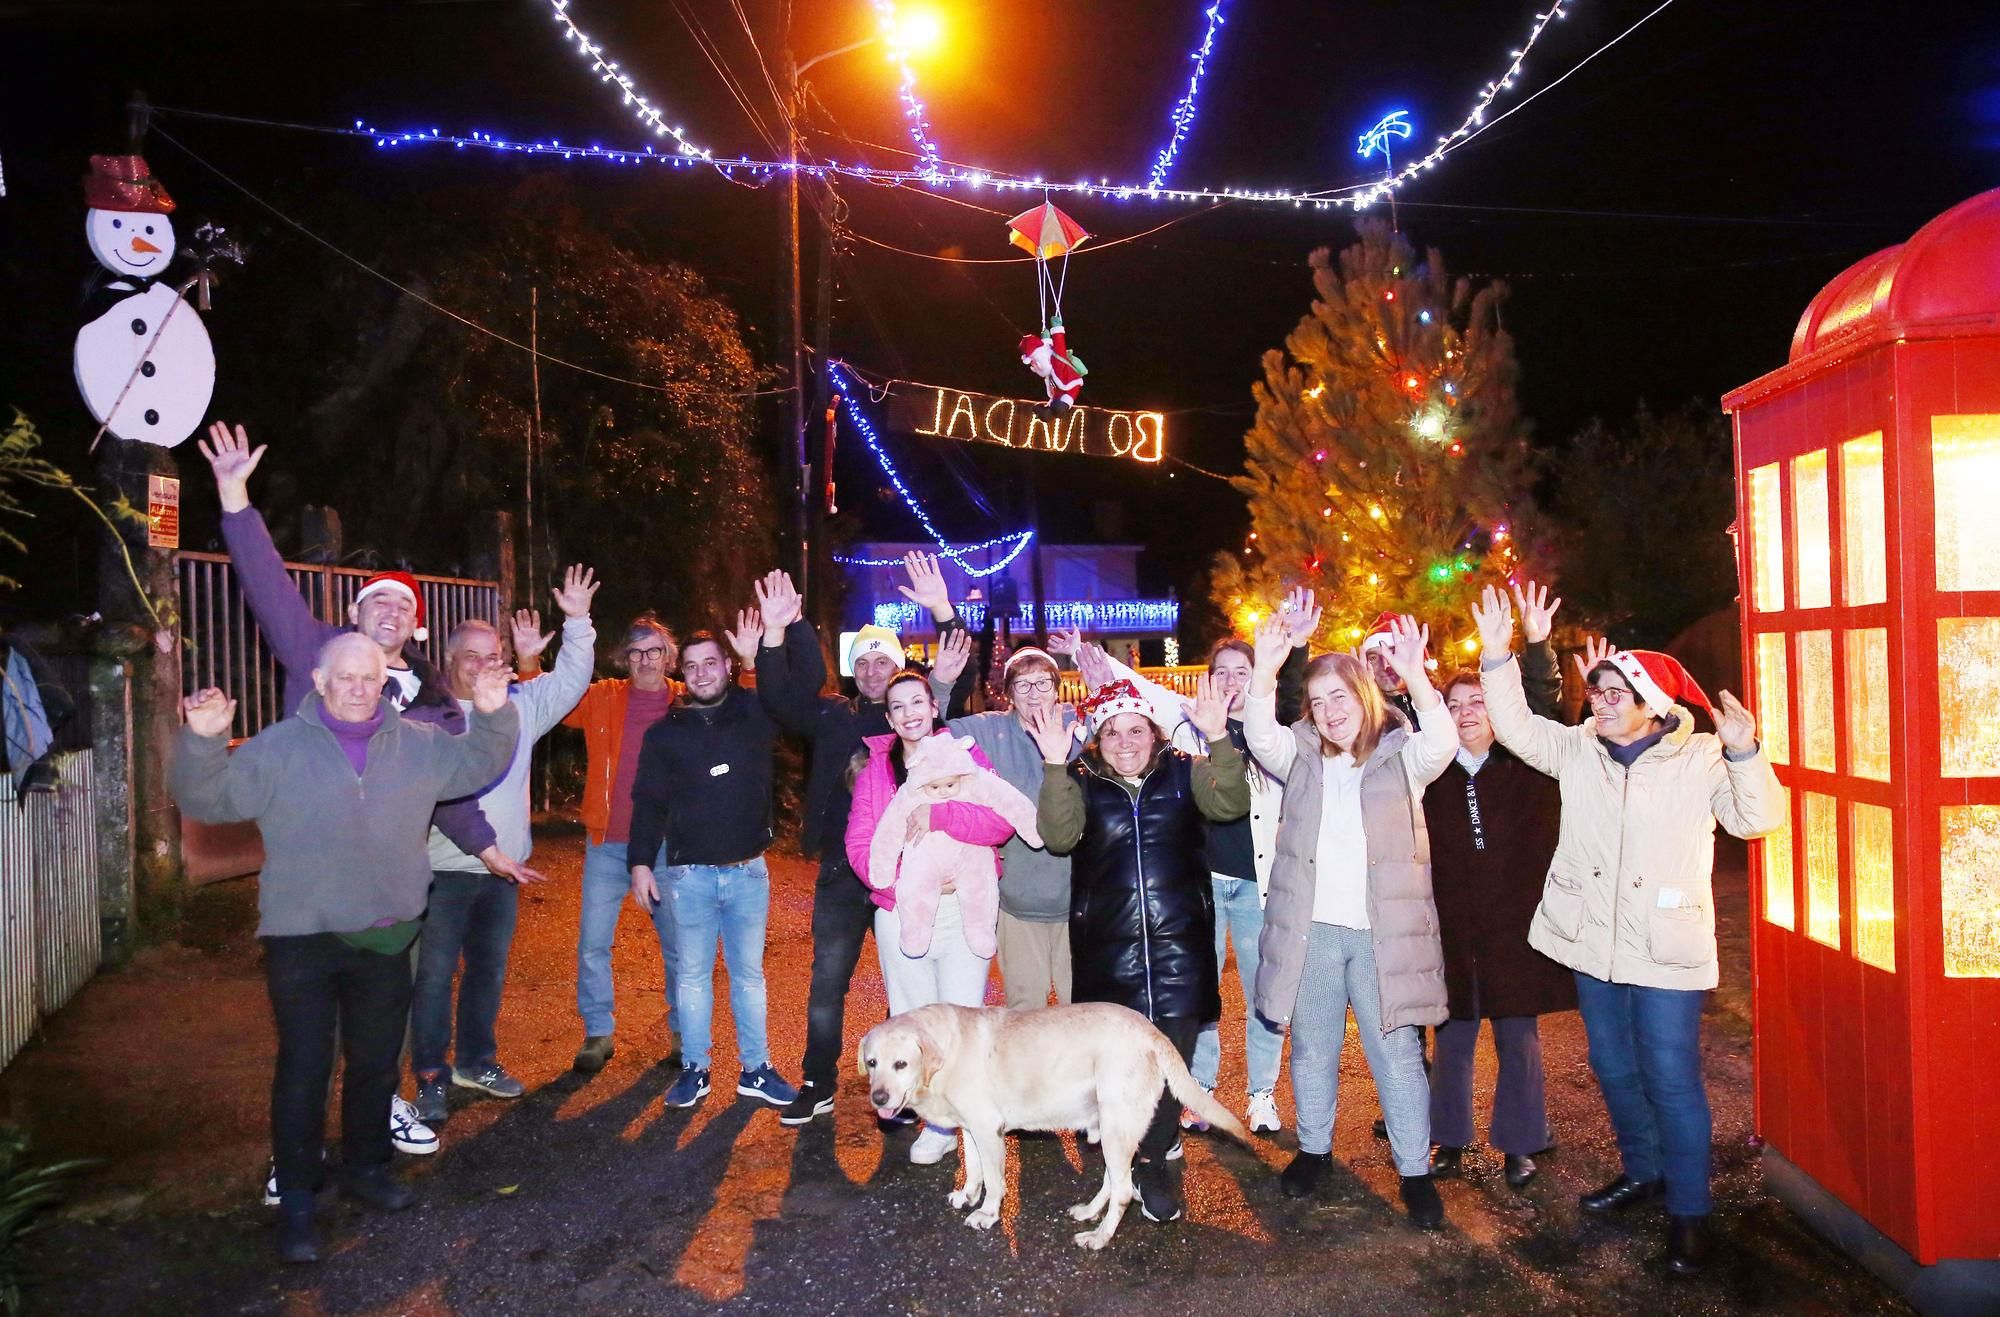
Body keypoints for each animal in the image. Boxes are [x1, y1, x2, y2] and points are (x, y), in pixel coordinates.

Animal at [860, 1000, 1248, 1248]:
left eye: (901, 1064)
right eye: (872, 1062)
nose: (878, 1098)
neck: (945, 1052)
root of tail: (1151, 1031)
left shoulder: (988, 1129)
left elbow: (994, 1181)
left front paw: (987, 1213)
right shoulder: (970, 1129)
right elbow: (973, 1169)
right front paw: (967, 1195)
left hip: (1116, 1128)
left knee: (1124, 1191)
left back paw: (1099, 1238)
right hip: (1114, 1130)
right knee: (1113, 1181)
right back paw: (1089, 1212)